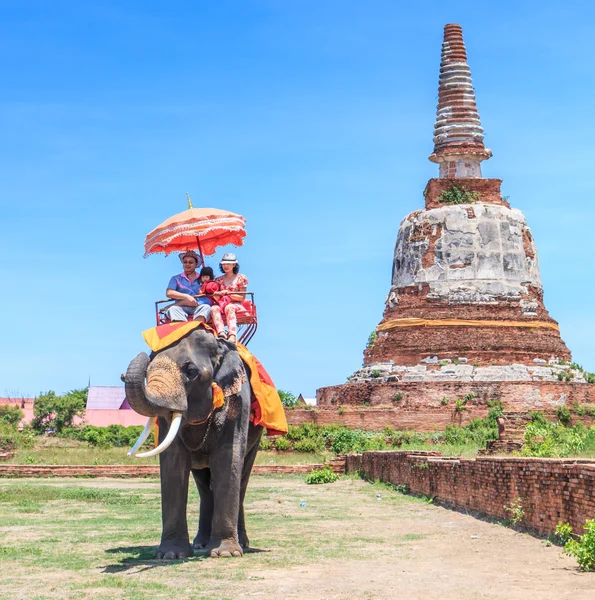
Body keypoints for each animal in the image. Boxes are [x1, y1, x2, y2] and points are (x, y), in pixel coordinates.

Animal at [125, 328, 264, 556]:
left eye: (191, 372)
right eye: (147, 372)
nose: (143, 355)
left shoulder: (238, 401)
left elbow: (227, 459)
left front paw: (225, 553)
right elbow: (173, 461)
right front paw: (170, 555)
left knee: (241, 478)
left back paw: (241, 544)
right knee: (204, 486)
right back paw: (201, 544)